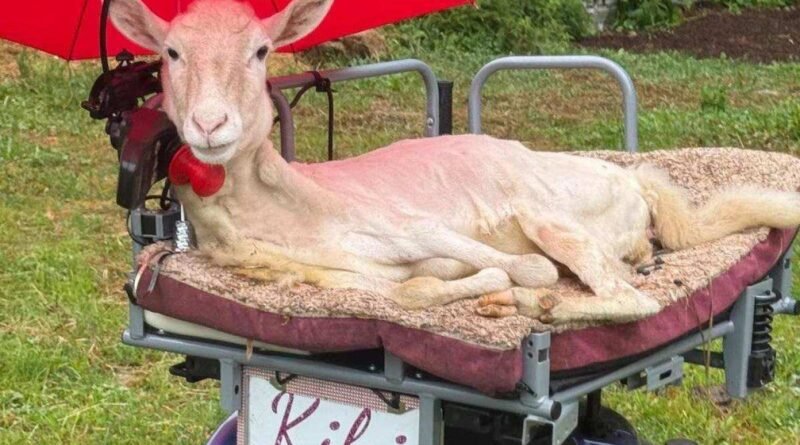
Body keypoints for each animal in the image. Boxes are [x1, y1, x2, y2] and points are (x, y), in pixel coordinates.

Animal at [110, 0, 800, 323]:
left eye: (260, 51)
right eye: (171, 52)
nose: (210, 125)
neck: (289, 212)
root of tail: (634, 178)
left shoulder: (420, 227)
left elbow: (517, 268)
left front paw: (515, 290)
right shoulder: (337, 277)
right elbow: (405, 290)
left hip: (556, 217)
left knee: (629, 295)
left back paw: (544, 309)